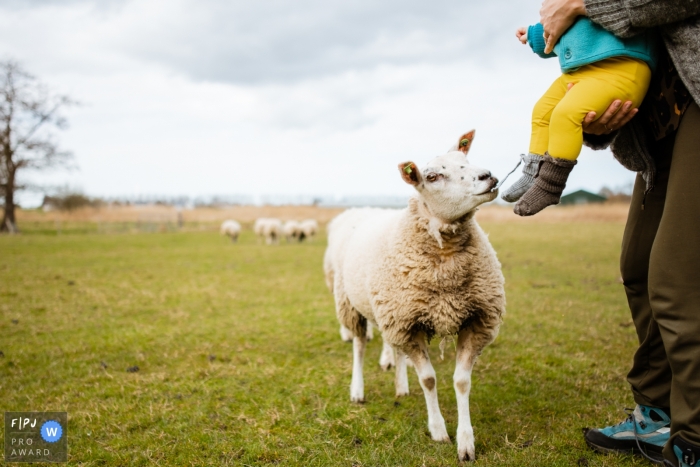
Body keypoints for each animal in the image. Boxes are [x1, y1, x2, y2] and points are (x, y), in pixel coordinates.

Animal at [322, 129, 504, 464]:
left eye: (465, 159)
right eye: (432, 176)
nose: (486, 176)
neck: (445, 265)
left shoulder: (473, 320)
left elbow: (461, 380)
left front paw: (466, 442)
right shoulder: (408, 323)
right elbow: (429, 379)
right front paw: (438, 430)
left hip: (392, 312)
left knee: (393, 349)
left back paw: (401, 386)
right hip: (353, 304)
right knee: (359, 345)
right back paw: (358, 390)